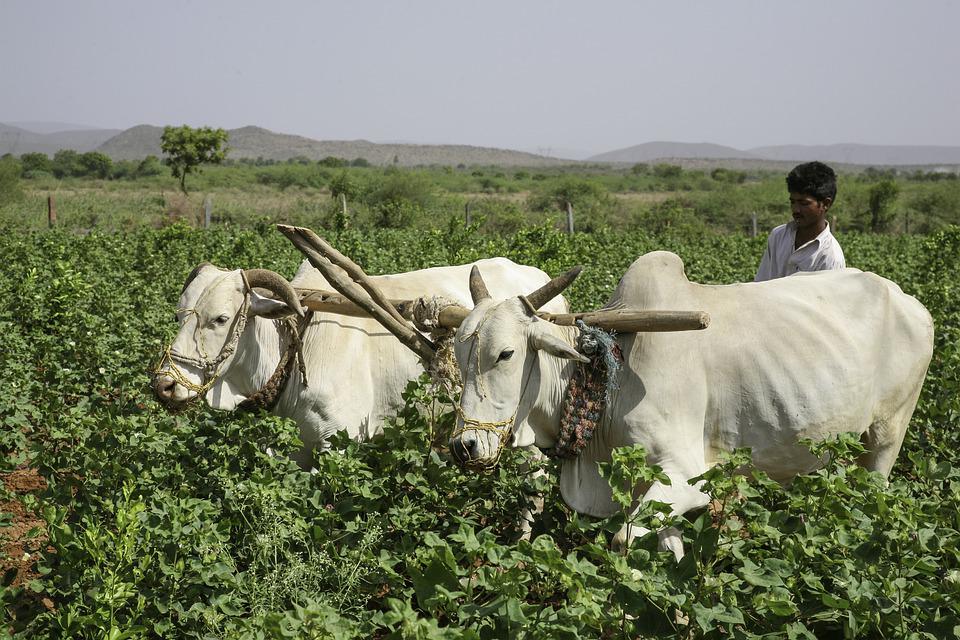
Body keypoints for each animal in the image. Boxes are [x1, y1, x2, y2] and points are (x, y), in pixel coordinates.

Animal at [447, 250, 934, 559]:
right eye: (458, 349)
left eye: (506, 354)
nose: (464, 446)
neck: (605, 374)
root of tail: (910, 302)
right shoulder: (649, 485)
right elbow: (669, 545)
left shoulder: (687, 477)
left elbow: (624, 541)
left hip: (887, 434)